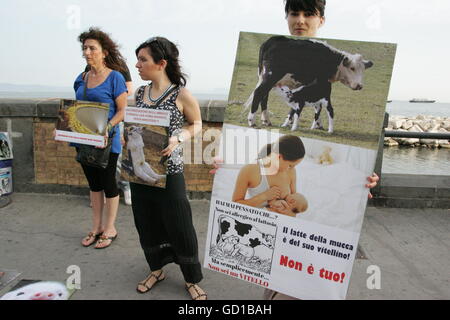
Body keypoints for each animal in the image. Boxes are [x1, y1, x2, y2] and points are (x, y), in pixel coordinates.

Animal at [244, 35, 374, 128]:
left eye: (363, 70)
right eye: (352, 68)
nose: (359, 85)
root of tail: (273, 40)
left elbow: (314, 105)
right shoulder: (319, 84)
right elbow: (318, 105)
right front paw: (317, 124)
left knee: (264, 96)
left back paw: (266, 120)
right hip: (271, 76)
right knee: (259, 93)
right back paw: (252, 121)